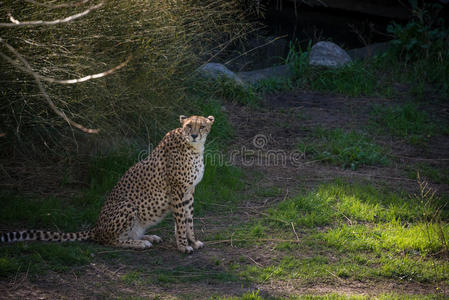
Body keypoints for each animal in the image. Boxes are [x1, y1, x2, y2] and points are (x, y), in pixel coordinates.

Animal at [0, 115, 214, 253]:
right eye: (189, 126)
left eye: (202, 126)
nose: (194, 135)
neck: (193, 147)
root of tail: (96, 227)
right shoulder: (177, 191)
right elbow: (181, 220)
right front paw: (183, 246)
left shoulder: (189, 191)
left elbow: (188, 219)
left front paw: (193, 241)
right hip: (127, 205)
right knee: (109, 240)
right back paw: (140, 243)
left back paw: (147, 237)